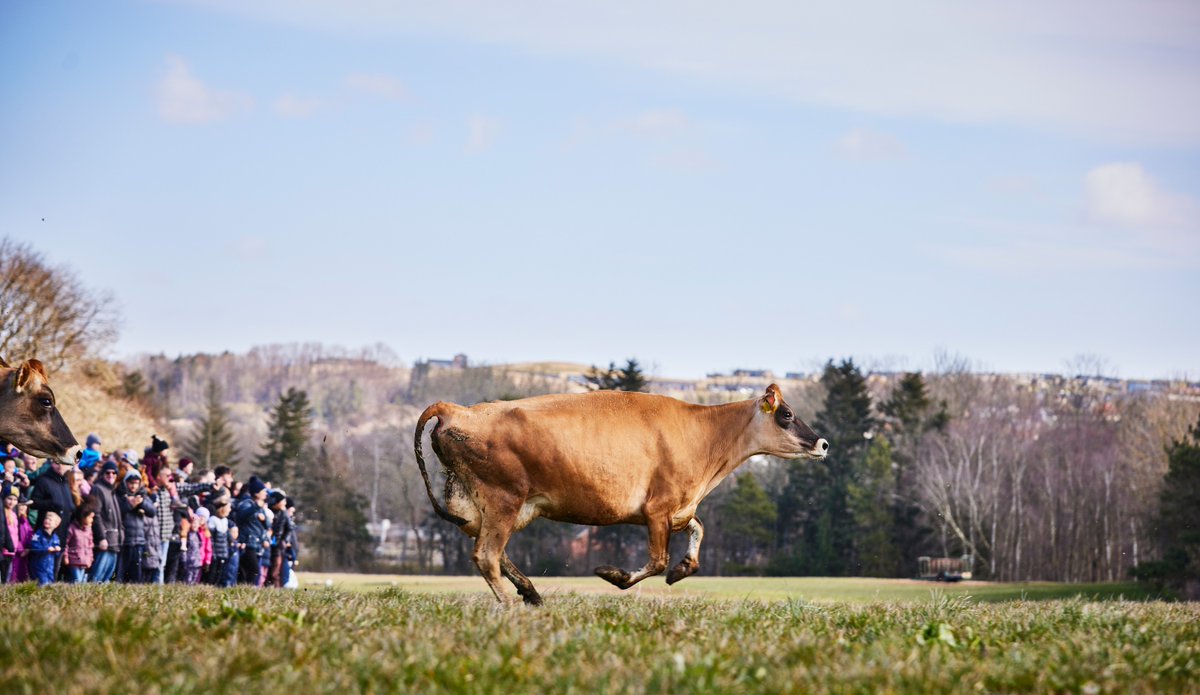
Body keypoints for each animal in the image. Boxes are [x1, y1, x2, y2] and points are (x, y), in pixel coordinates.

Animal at [412, 384, 825, 607]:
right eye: (787, 415)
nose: (822, 443)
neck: (705, 437)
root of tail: (459, 410)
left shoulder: (679, 509)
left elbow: (697, 534)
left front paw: (681, 570)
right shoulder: (659, 508)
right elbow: (657, 561)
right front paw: (612, 574)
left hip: (491, 505)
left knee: (493, 553)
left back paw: (531, 593)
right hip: (503, 499)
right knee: (486, 556)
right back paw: (514, 605)